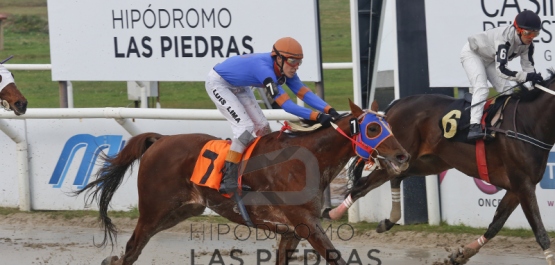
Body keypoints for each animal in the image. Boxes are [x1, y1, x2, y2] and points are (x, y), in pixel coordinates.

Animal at [76, 100, 410, 262]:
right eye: (372, 129)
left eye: (388, 126)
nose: (403, 155)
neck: (307, 159)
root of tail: (160, 140)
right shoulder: (304, 222)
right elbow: (336, 258)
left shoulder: (293, 229)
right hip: (153, 210)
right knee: (132, 249)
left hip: (181, 211)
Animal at [326, 70, 555, 264]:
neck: (527, 123)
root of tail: (393, 106)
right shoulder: (522, 184)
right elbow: (540, 232)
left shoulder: (518, 187)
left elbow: (496, 223)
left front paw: (461, 254)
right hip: (399, 156)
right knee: (363, 185)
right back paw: (332, 213)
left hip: (425, 162)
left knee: (395, 177)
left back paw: (388, 220)